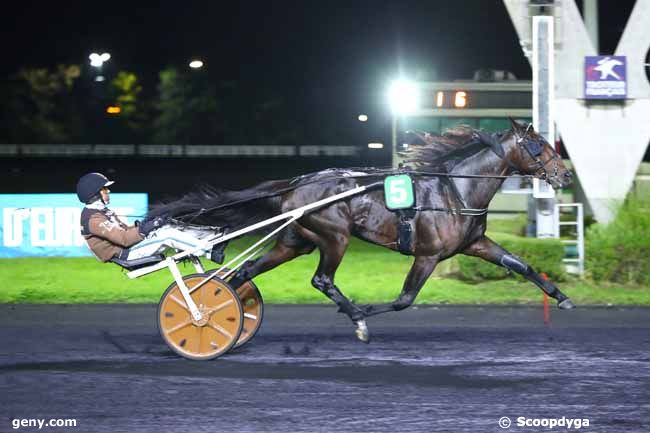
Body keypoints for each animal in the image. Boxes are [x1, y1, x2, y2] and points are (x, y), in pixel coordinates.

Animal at [151, 118, 572, 340]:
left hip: (295, 242)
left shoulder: (475, 244)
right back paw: (355, 315)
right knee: (321, 279)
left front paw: (562, 297)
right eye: (537, 146)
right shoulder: (428, 254)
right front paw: (364, 311)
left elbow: (520, 265)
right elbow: (404, 299)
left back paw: (217, 314)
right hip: (334, 237)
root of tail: (295, 183)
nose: (566, 174)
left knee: (244, 273)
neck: (455, 190)